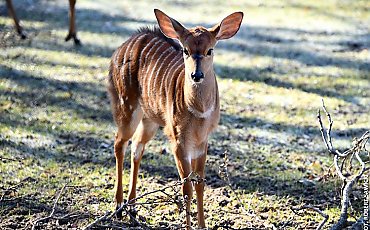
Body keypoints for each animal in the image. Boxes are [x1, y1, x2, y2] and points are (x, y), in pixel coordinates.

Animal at [107, 8, 243, 228]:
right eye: (186, 50)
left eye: (210, 50)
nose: (197, 75)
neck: (199, 113)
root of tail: (123, 47)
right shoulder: (178, 139)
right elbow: (186, 188)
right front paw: (188, 226)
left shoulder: (202, 142)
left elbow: (199, 184)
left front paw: (202, 225)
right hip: (126, 105)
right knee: (120, 143)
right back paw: (119, 208)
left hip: (150, 119)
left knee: (137, 147)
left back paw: (133, 208)